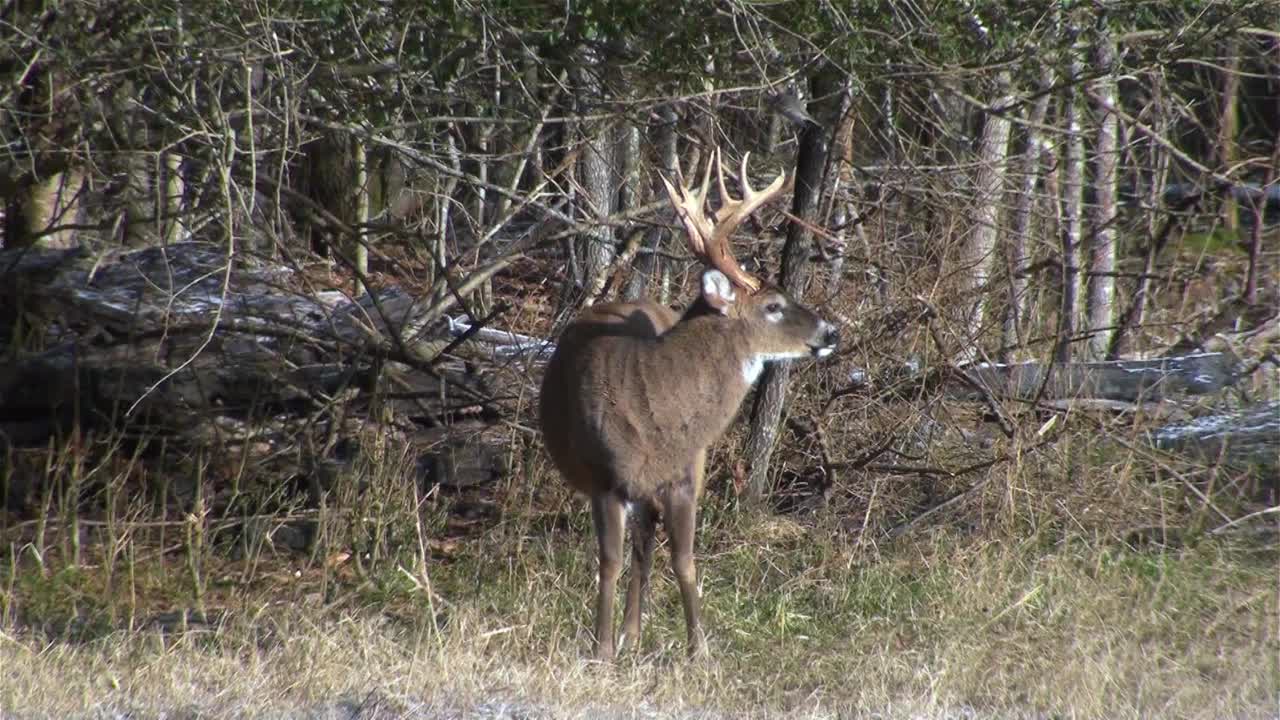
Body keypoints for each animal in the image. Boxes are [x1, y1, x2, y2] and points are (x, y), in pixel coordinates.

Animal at [537, 148, 839, 661]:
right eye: (773, 306)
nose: (831, 332)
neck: (654, 402)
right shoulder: (604, 479)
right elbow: (609, 563)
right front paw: (600, 650)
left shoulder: (685, 474)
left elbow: (684, 560)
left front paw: (698, 649)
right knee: (637, 548)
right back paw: (625, 636)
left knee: (646, 546)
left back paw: (634, 632)